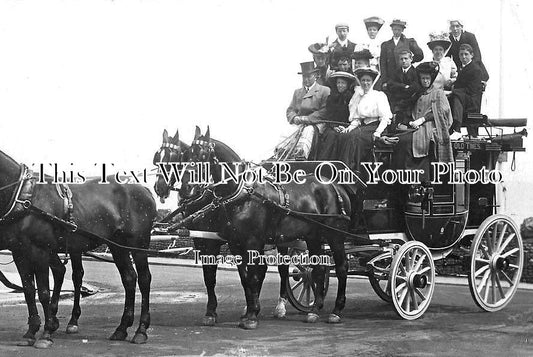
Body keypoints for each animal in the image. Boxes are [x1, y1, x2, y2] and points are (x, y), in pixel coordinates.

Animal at [0, 148, 157, 348]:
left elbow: (43, 292)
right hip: (117, 245)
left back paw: (141, 330)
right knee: (129, 278)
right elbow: (28, 290)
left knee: (144, 280)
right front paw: (31, 332)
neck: (25, 197)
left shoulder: (40, 251)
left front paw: (46, 333)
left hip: (139, 244)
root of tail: (144, 189)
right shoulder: (19, 252)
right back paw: (121, 329)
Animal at [152, 129, 294, 326]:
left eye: (175, 158)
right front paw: (213, 312)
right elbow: (212, 277)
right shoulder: (205, 241)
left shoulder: (218, 241)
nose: (160, 187)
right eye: (157, 158)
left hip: (281, 241)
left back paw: (280, 306)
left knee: (283, 269)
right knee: (262, 269)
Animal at [177, 127, 356, 328]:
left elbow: (253, 275)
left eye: (202, 155)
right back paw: (315, 310)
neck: (242, 193)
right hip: (313, 236)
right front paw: (248, 311)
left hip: (335, 235)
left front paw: (252, 315)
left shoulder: (252, 241)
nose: (185, 189)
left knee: (341, 267)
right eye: (185, 156)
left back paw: (336, 310)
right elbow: (244, 277)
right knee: (317, 269)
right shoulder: (234, 242)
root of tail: (336, 186)